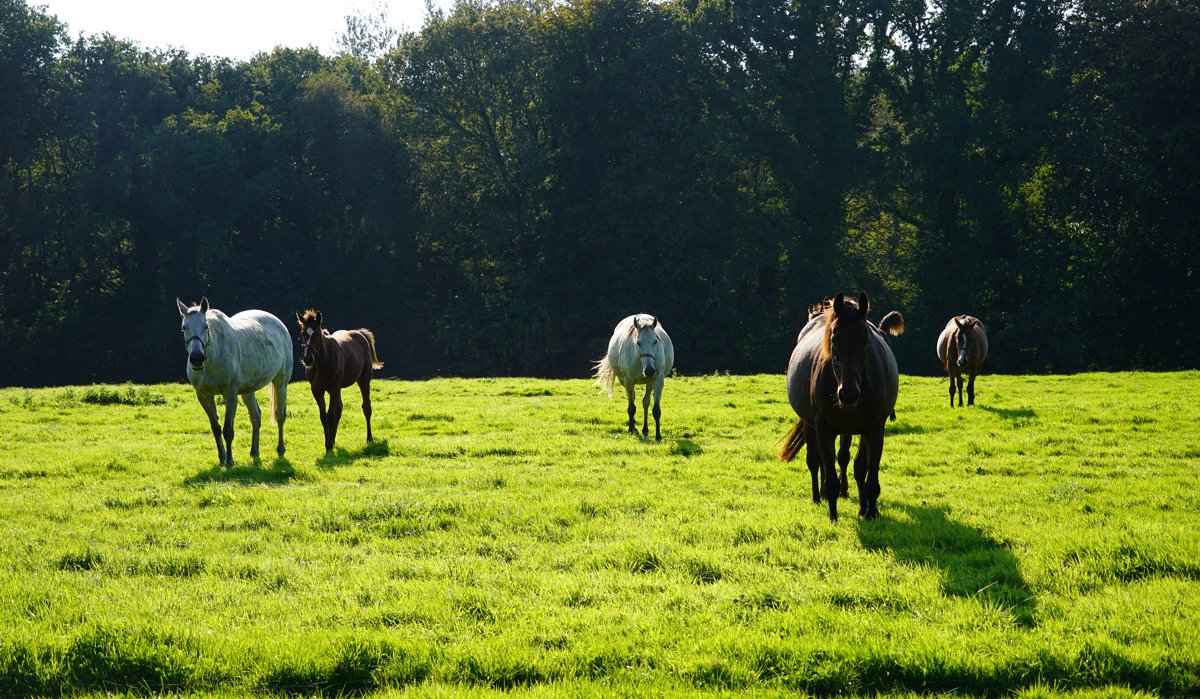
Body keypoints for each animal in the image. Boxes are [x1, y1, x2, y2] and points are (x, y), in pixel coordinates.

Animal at [176, 297, 291, 466]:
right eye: (184, 327)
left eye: (205, 326)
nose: (197, 358)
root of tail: (279, 324)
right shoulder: (204, 396)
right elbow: (216, 428)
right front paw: (222, 458)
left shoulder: (230, 394)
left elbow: (228, 430)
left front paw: (230, 461)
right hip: (248, 390)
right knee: (255, 417)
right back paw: (254, 452)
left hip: (281, 383)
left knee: (280, 416)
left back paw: (281, 450)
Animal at [296, 310, 383, 453]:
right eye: (302, 333)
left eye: (318, 334)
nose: (308, 359)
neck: (323, 363)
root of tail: (360, 334)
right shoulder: (317, 391)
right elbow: (323, 416)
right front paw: (328, 443)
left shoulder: (333, 388)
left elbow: (330, 415)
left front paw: (329, 445)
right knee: (340, 409)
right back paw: (334, 440)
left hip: (363, 380)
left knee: (366, 407)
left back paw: (369, 438)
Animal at [779, 293, 904, 521]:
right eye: (834, 339)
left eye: (865, 340)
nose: (848, 394)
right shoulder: (823, 427)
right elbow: (830, 476)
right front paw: (833, 516)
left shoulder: (874, 429)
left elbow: (866, 473)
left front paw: (870, 512)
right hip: (811, 426)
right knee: (815, 461)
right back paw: (817, 497)